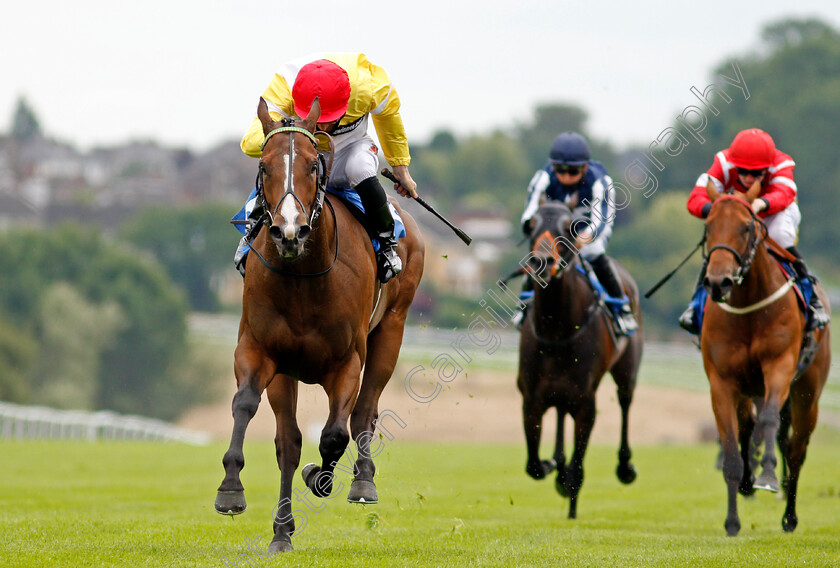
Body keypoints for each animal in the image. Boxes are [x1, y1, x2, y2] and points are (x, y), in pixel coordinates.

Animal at [215, 97, 424, 552]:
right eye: (264, 167)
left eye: (313, 165)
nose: (289, 231)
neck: (303, 277)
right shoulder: (261, 351)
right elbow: (251, 410)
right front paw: (232, 490)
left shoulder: (346, 362)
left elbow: (333, 435)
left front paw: (321, 477)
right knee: (289, 441)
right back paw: (282, 528)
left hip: (391, 331)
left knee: (364, 414)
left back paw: (362, 482)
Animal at [520, 201, 644, 520]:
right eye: (531, 224)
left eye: (568, 227)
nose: (540, 261)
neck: (557, 328)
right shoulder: (531, 398)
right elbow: (534, 466)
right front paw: (552, 465)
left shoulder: (586, 402)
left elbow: (577, 468)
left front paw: (570, 500)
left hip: (627, 371)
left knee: (625, 403)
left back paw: (625, 466)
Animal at [700, 183, 832, 536]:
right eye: (708, 227)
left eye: (746, 227)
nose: (718, 282)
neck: (748, 306)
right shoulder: (722, 382)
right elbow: (732, 448)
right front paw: (732, 521)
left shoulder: (780, 367)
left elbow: (770, 421)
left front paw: (769, 476)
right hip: (748, 390)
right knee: (748, 427)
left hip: (807, 393)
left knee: (796, 448)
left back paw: (789, 516)